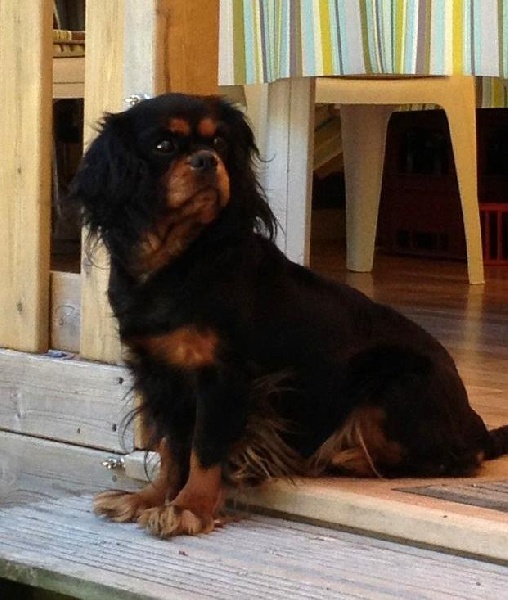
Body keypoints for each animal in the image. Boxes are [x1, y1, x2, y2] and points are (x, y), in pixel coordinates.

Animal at [69, 93, 508, 537]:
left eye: (221, 142)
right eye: (163, 146)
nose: (208, 160)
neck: (180, 259)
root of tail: (473, 426)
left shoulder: (223, 378)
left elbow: (203, 448)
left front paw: (190, 507)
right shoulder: (160, 377)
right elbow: (172, 446)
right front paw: (150, 497)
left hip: (393, 382)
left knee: (455, 460)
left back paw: (345, 454)